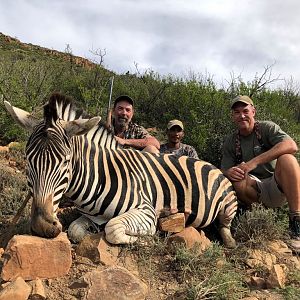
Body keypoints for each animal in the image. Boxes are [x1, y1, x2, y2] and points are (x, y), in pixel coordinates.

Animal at [4, 94, 238, 248]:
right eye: (28, 160)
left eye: (66, 162)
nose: (42, 228)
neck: (99, 177)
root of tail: (210, 164)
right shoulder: (90, 216)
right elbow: (75, 230)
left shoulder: (145, 210)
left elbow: (114, 229)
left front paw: (147, 238)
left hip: (228, 205)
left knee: (225, 225)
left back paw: (229, 241)